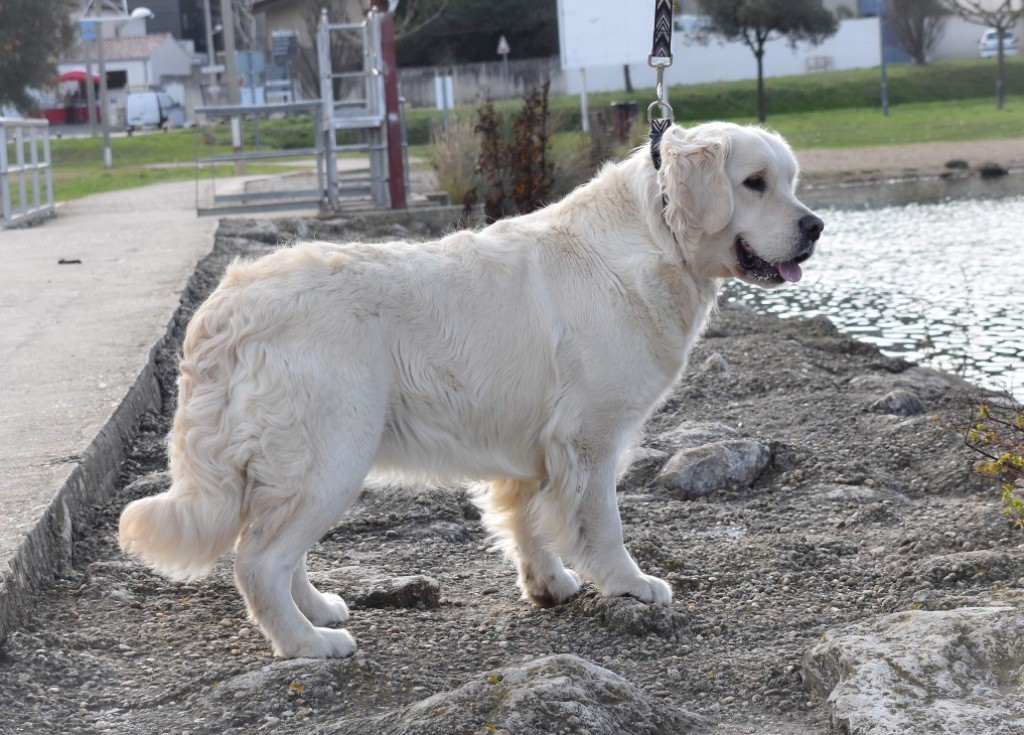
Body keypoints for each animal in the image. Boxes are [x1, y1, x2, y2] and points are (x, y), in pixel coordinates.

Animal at [119, 123, 823, 659]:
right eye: (754, 183)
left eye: (791, 182)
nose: (815, 226)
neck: (657, 237)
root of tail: (226, 304)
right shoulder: (590, 436)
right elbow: (601, 523)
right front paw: (630, 584)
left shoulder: (534, 446)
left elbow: (527, 520)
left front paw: (548, 585)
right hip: (332, 456)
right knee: (258, 560)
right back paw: (308, 644)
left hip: (308, 466)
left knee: (276, 553)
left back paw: (319, 609)